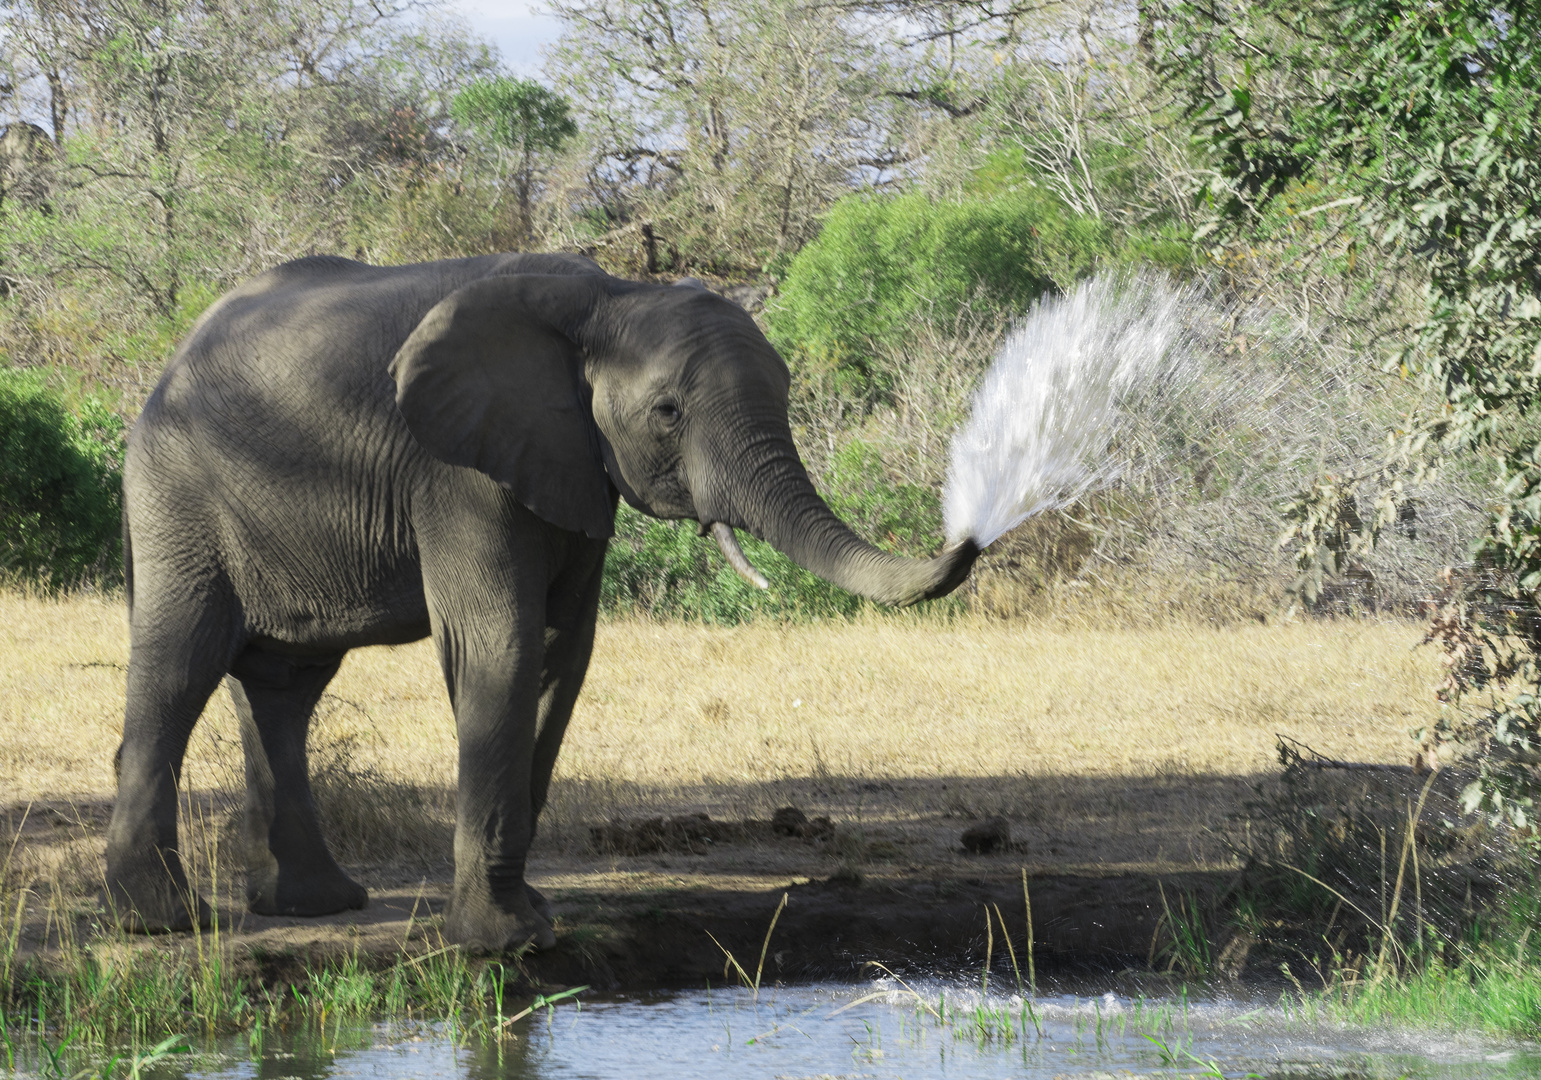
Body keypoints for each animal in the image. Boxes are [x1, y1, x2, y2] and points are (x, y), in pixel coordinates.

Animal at [105, 251, 973, 942]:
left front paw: (533, 921)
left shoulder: (573, 464)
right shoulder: (456, 469)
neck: (606, 297)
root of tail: (171, 360)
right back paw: (161, 921)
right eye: (668, 412)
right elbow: (501, 642)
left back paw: (314, 907)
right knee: (181, 663)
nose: (967, 536)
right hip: (176, 492)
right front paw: (501, 943)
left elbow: (563, 651)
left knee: (285, 685)